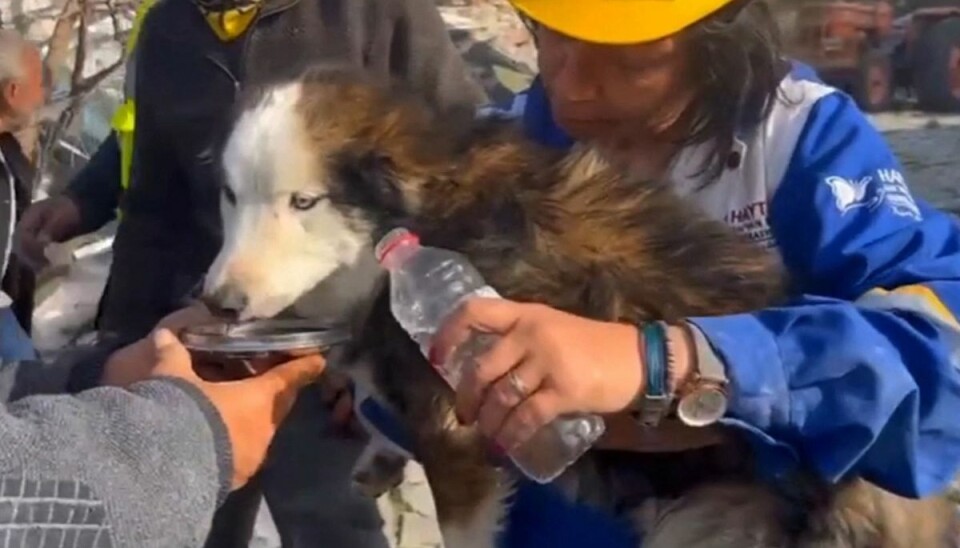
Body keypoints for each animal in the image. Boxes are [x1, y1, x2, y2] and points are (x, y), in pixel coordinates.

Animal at [202, 66, 960, 544]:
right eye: (231, 197)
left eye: (305, 202)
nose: (215, 302)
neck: (419, 214)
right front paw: (379, 449)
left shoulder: (460, 439)